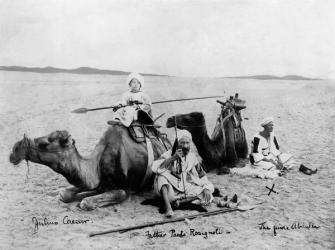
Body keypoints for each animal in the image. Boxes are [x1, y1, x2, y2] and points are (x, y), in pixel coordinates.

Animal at [9, 125, 172, 209]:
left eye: (44, 144)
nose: (14, 151)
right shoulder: (94, 181)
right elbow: (64, 194)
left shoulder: (124, 190)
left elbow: (86, 202)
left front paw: (85, 199)